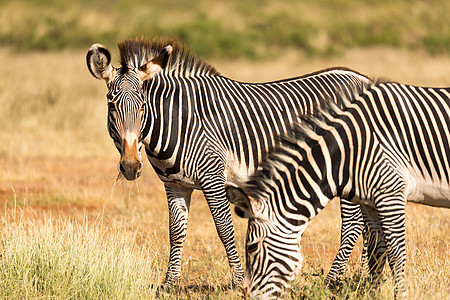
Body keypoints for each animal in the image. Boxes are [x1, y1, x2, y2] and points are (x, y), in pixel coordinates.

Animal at [86, 37, 374, 288]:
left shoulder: (213, 177)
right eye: (111, 106)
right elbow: (176, 231)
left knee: (353, 225)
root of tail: (364, 78)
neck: (180, 121)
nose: (131, 167)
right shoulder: (175, 185)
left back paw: (332, 281)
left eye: (143, 106)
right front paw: (169, 283)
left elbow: (224, 227)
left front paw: (238, 281)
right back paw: (369, 276)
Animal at [227, 81, 448, 298]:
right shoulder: (371, 201)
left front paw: (400, 295)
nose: (246, 295)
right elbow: (377, 252)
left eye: (252, 247)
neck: (351, 149)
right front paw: (374, 293)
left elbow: (396, 254)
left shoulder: (391, 193)